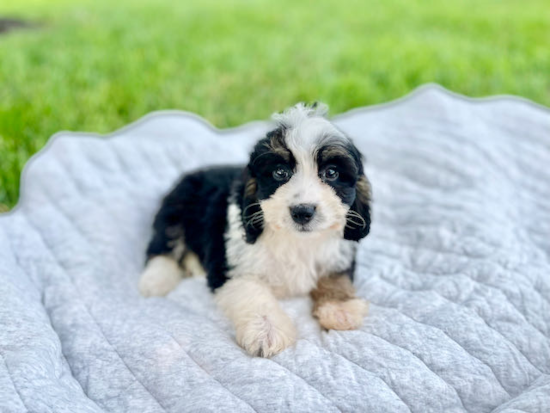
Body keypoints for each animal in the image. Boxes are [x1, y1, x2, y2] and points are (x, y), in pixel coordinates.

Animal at [138, 104, 374, 358]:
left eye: (331, 173)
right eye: (280, 173)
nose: (302, 211)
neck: (294, 239)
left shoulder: (339, 254)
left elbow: (337, 279)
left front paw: (340, 308)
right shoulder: (231, 264)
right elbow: (252, 292)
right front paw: (267, 330)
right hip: (174, 211)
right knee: (163, 247)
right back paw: (155, 280)